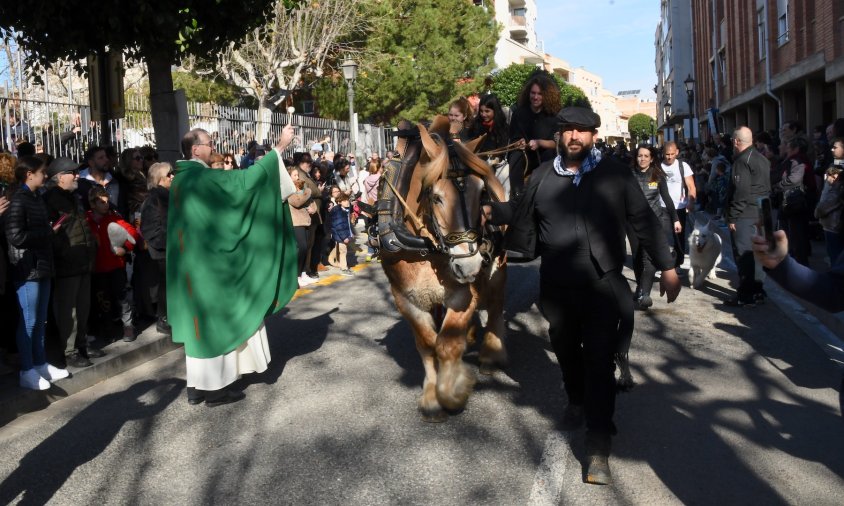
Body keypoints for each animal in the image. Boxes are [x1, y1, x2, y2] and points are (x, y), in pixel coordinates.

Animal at [382, 116, 508, 422]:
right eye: (437, 197)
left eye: (481, 192)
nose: (469, 264)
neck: (425, 248)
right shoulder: (404, 298)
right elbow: (427, 343)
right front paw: (431, 397)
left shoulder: (464, 294)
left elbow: (447, 344)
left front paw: (452, 392)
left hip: (498, 268)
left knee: (496, 306)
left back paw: (490, 353)